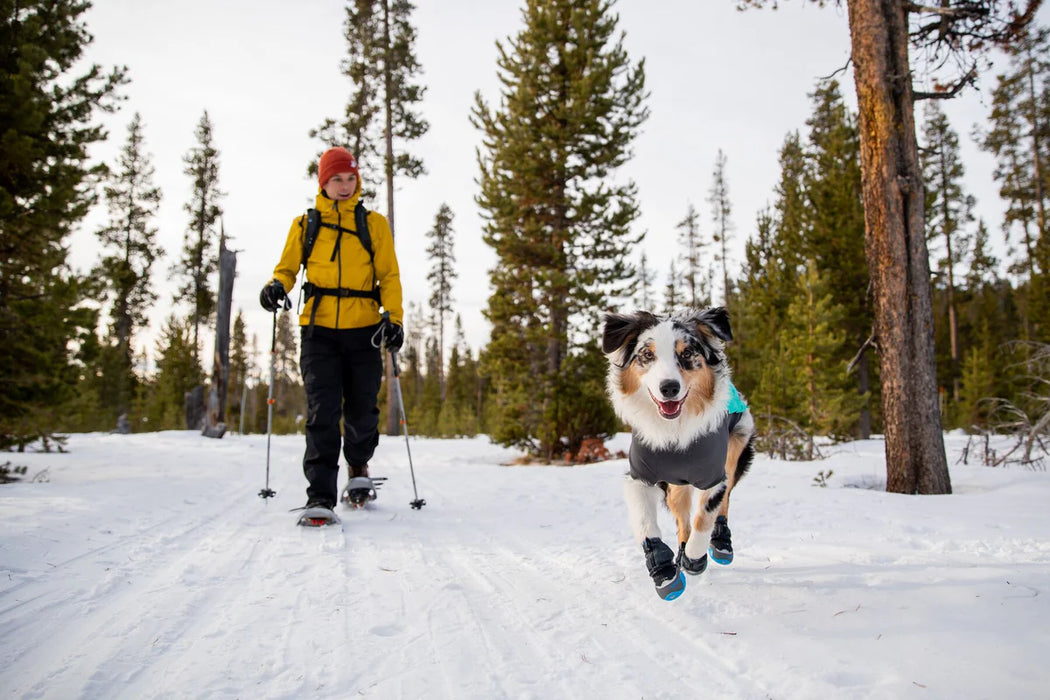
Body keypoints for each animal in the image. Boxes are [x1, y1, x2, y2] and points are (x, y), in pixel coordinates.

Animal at [600, 308, 755, 604]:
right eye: (647, 355)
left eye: (687, 353)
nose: (669, 387)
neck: (676, 432)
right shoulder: (641, 476)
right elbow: (646, 522)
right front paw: (663, 571)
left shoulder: (713, 475)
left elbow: (704, 517)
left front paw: (695, 557)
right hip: (674, 486)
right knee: (682, 520)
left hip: (737, 444)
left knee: (724, 501)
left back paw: (719, 544)